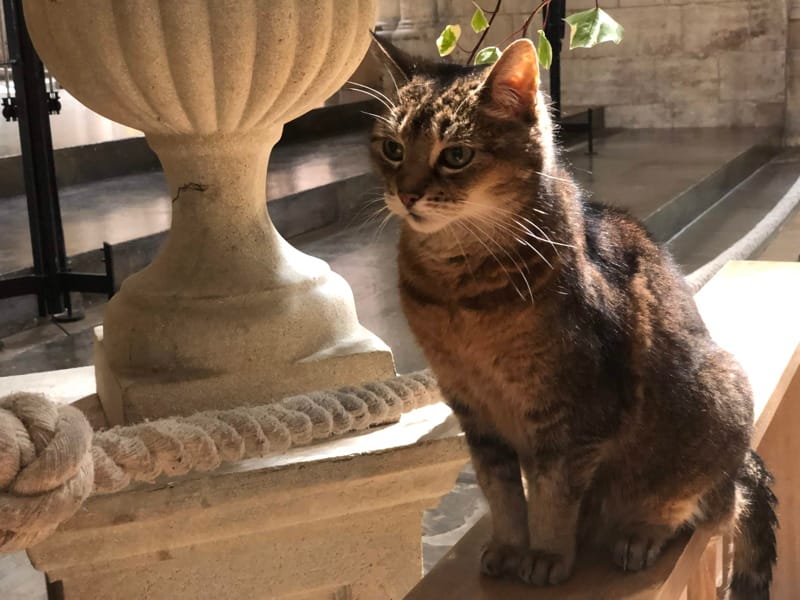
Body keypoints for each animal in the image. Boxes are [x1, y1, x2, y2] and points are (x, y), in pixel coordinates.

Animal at [368, 35, 776, 596]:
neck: (458, 293)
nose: (406, 194)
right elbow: (501, 492)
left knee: (713, 506)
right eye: (392, 149)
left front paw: (546, 555)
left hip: (718, 394)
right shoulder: (474, 411)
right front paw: (510, 547)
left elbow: (552, 495)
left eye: (455, 155)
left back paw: (640, 533)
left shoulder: (571, 411)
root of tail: (743, 464)